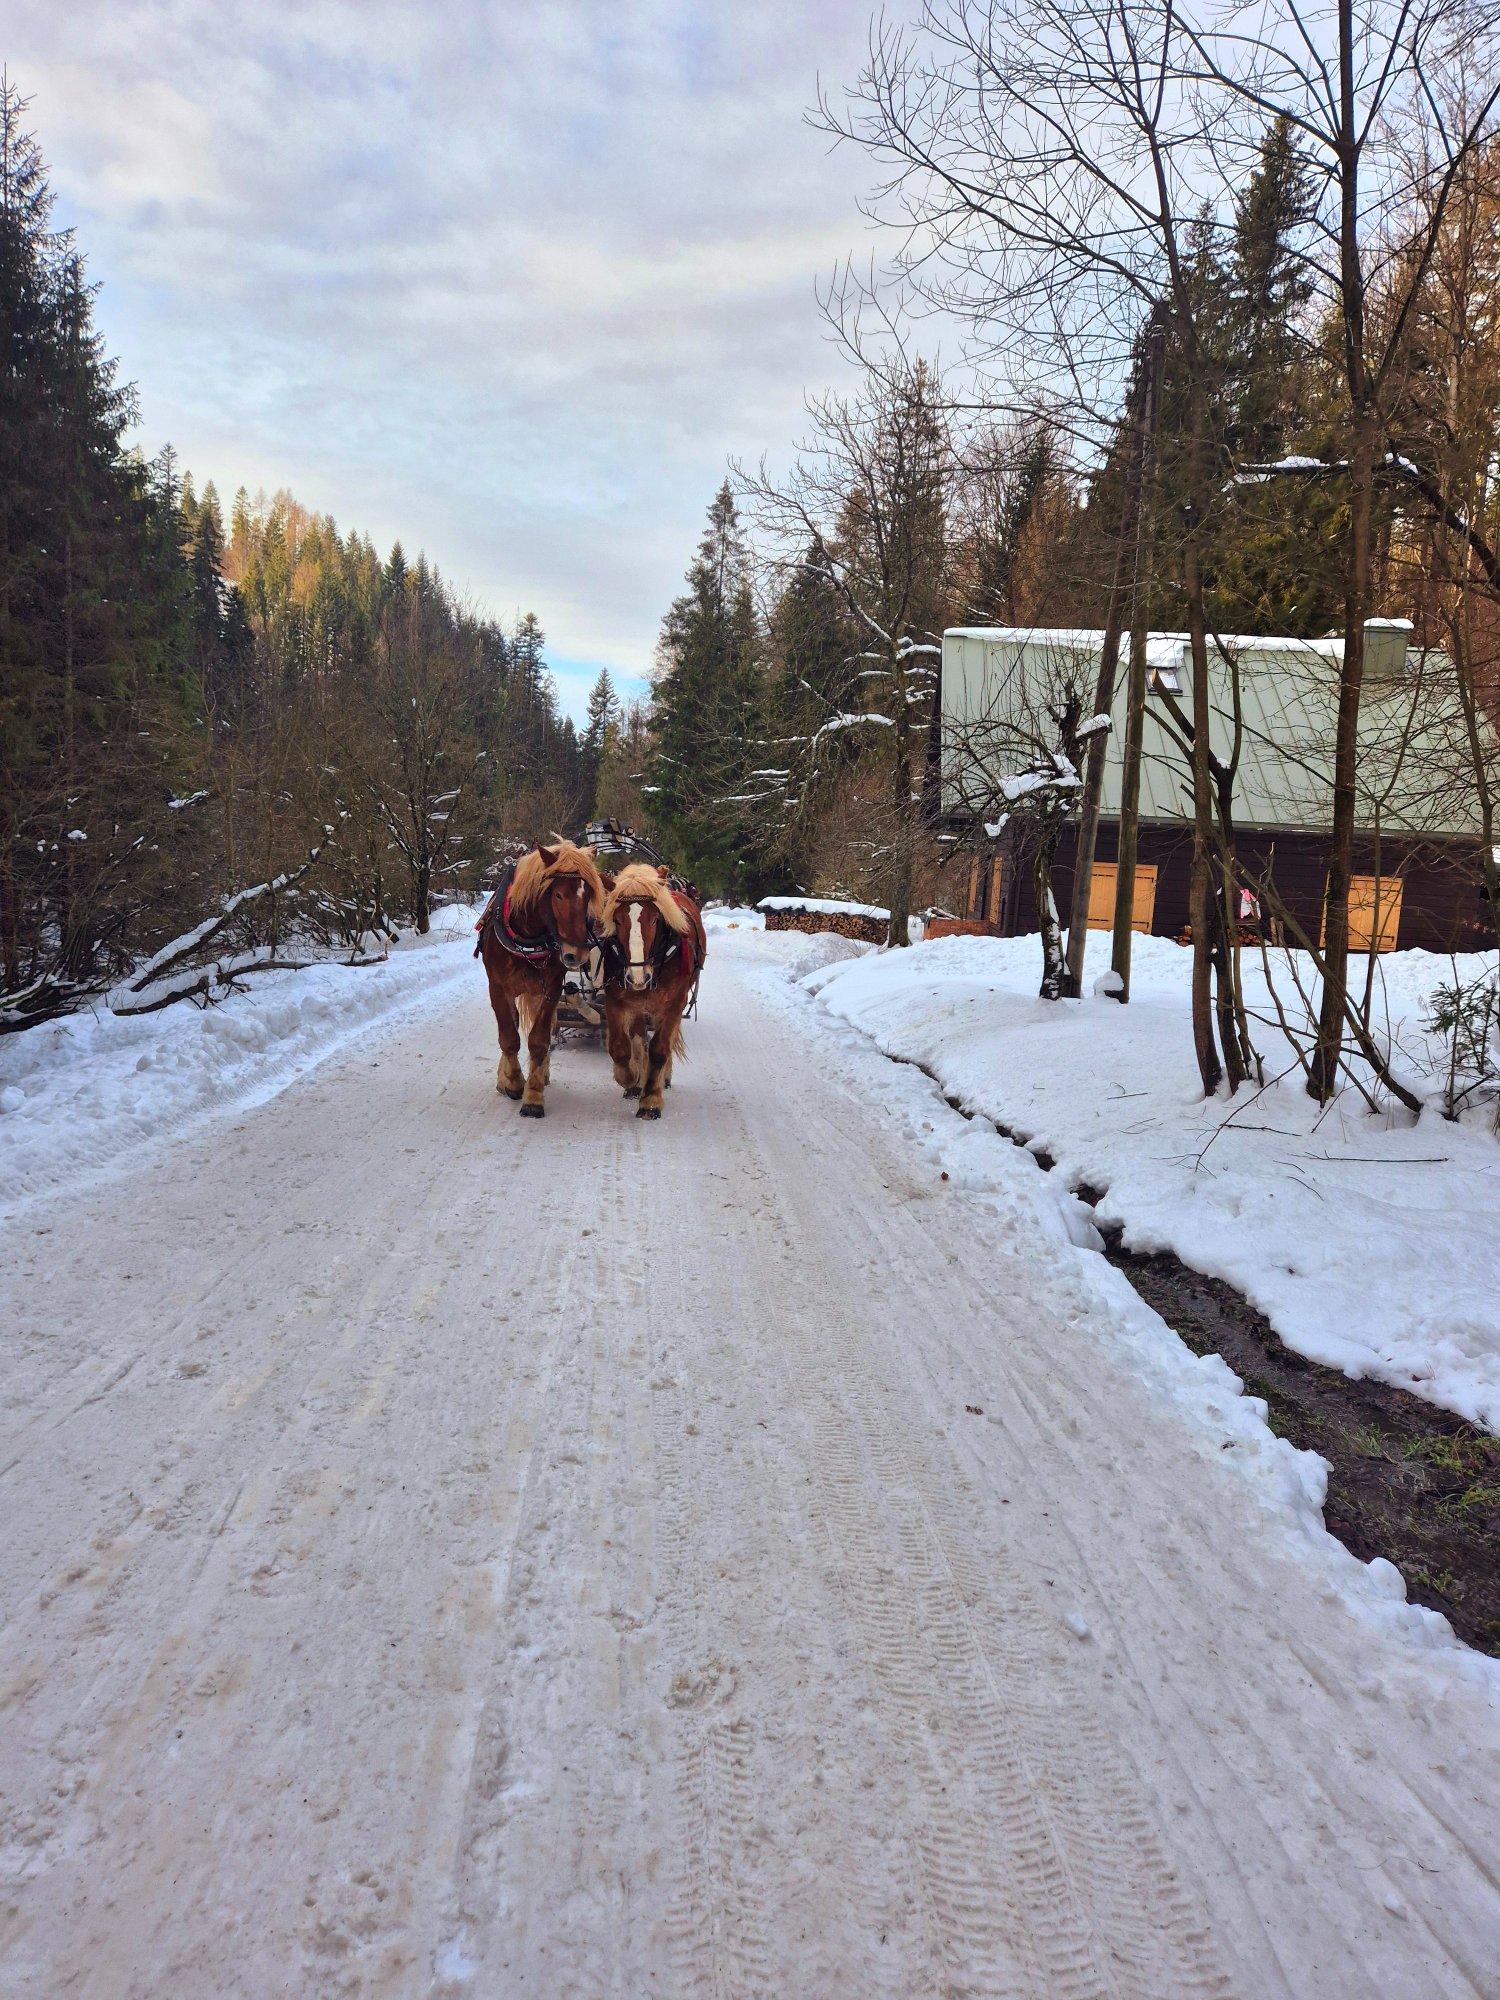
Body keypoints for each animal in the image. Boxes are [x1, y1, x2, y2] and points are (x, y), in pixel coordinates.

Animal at [476, 841, 606, 1117]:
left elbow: (539, 1039)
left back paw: (541, 1072)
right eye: (558, 895)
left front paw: (533, 1095)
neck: (527, 939)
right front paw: (514, 1082)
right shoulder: (498, 989)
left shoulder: (551, 989)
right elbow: (508, 1037)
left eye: (589, 894)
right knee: (513, 1023)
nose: (577, 953)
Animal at [598, 863, 706, 1120]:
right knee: (638, 1039)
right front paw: (631, 1078)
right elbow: (620, 1047)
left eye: (655, 919)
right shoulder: (616, 1000)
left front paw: (650, 1101)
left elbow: (659, 1048)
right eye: (617, 920)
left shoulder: (674, 1004)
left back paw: (662, 1077)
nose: (639, 977)